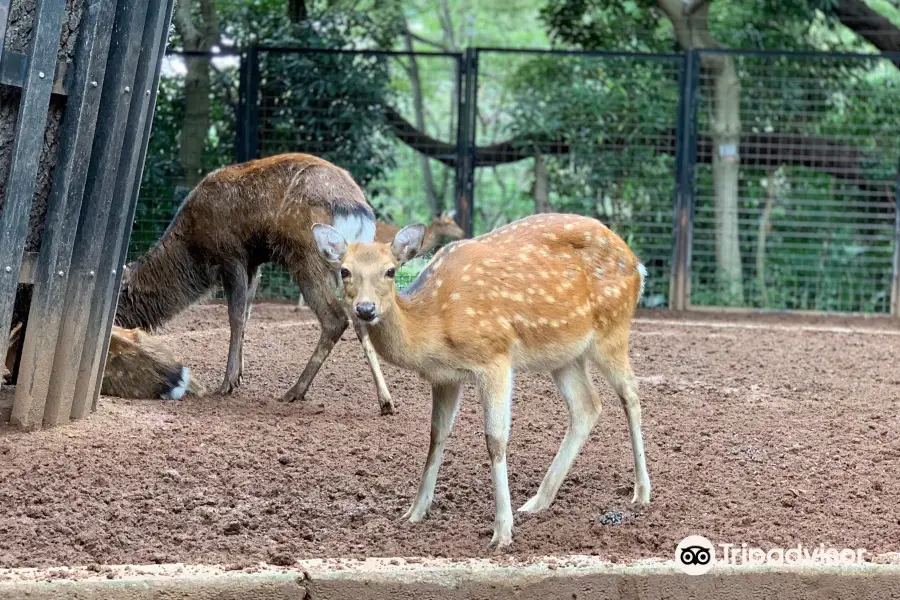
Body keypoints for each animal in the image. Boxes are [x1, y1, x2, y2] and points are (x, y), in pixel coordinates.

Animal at [112, 151, 394, 412]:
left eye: (119, 301)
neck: (193, 248)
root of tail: (358, 211)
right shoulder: (254, 263)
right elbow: (247, 312)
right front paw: (239, 374)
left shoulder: (232, 254)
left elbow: (236, 315)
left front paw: (228, 382)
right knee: (359, 316)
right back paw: (385, 401)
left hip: (308, 256)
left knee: (335, 318)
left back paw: (294, 391)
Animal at [312, 213, 652, 552]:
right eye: (345, 270)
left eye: (390, 271)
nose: (365, 309)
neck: (434, 323)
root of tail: (638, 264)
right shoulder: (445, 377)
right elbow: (437, 434)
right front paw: (415, 512)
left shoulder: (494, 357)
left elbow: (495, 440)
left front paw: (501, 533)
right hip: (564, 354)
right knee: (587, 406)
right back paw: (538, 501)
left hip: (612, 329)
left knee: (631, 394)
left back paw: (642, 492)